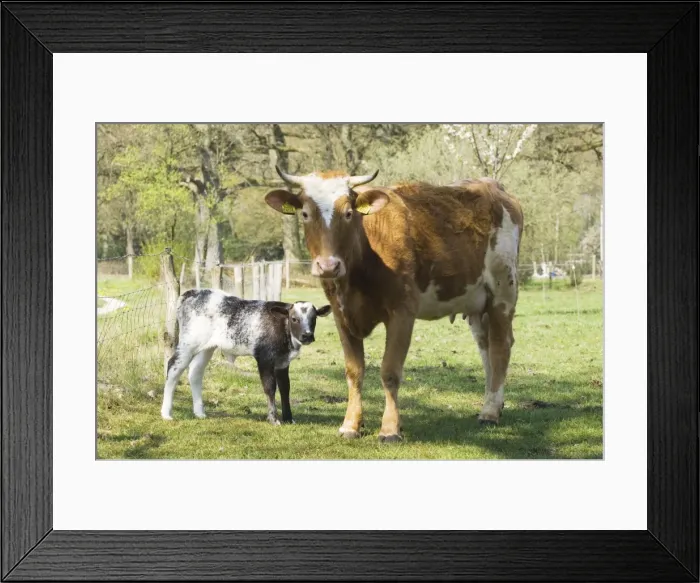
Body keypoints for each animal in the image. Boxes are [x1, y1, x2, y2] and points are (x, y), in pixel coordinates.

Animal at [264, 168, 523, 442]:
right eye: (305, 213)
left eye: (348, 213)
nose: (328, 266)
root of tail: (494, 187)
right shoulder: (340, 315)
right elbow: (354, 371)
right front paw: (350, 425)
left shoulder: (402, 311)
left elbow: (390, 370)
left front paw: (390, 429)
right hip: (476, 303)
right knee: (486, 349)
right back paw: (493, 404)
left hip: (503, 292)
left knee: (500, 348)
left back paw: (490, 412)